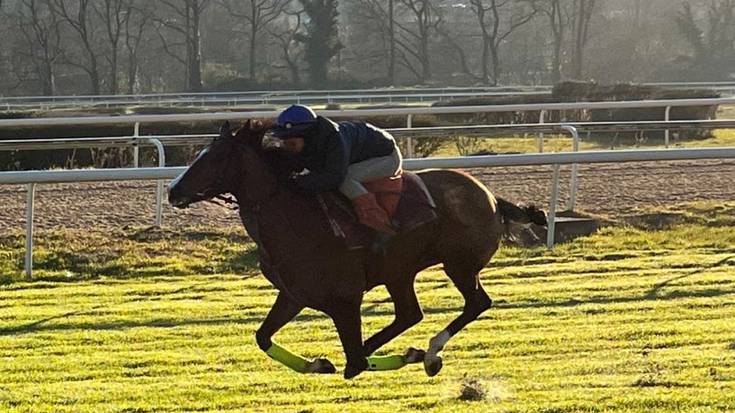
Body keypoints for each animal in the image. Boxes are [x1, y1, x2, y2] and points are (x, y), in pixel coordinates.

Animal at [168, 118, 548, 376]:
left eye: (213, 158)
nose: (173, 190)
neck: (294, 220)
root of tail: (491, 197)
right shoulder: (294, 295)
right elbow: (263, 337)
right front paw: (319, 364)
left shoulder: (345, 300)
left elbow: (355, 362)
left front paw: (397, 355)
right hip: (400, 271)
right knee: (410, 314)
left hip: (459, 264)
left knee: (476, 303)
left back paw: (429, 353)